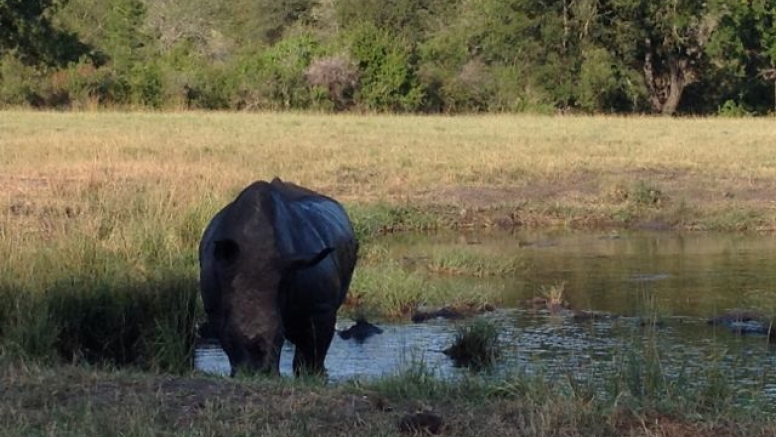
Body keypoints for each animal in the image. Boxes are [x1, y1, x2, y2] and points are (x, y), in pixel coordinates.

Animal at [199, 177, 360, 374]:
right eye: (229, 337)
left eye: (280, 337)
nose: (259, 373)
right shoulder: (214, 308)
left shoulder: (322, 307)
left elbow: (313, 352)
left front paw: (312, 375)